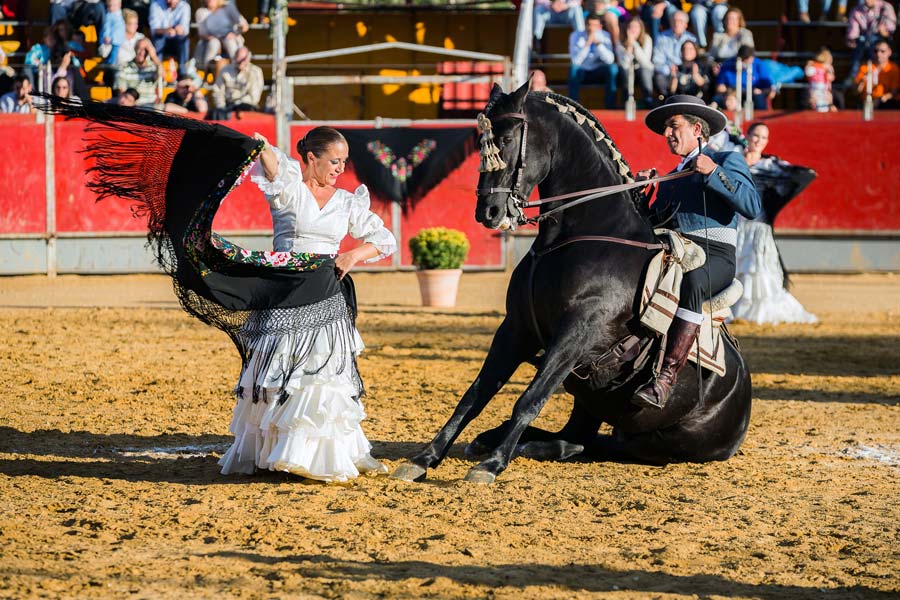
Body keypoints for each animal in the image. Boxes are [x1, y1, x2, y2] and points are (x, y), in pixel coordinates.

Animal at [394, 81, 752, 482]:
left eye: (505, 140)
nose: (488, 212)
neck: (577, 236)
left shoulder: (577, 333)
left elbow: (530, 398)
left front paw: (492, 465)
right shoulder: (516, 328)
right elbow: (475, 395)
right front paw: (425, 458)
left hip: (652, 439)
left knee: (593, 445)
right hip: (593, 398)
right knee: (576, 438)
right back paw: (498, 440)